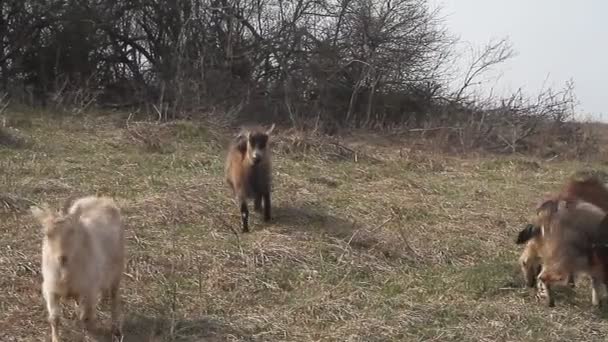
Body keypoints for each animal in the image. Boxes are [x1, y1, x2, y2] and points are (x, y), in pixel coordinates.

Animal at [32, 195, 126, 342]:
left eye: (72, 231)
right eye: (47, 234)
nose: (62, 258)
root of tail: (101, 198)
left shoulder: (89, 289)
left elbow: (85, 316)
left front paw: (90, 334)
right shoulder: (50, 288)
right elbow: (54, 318)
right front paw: (56, 339)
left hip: (117, 269)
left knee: (114, 297)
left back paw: (115, 328)